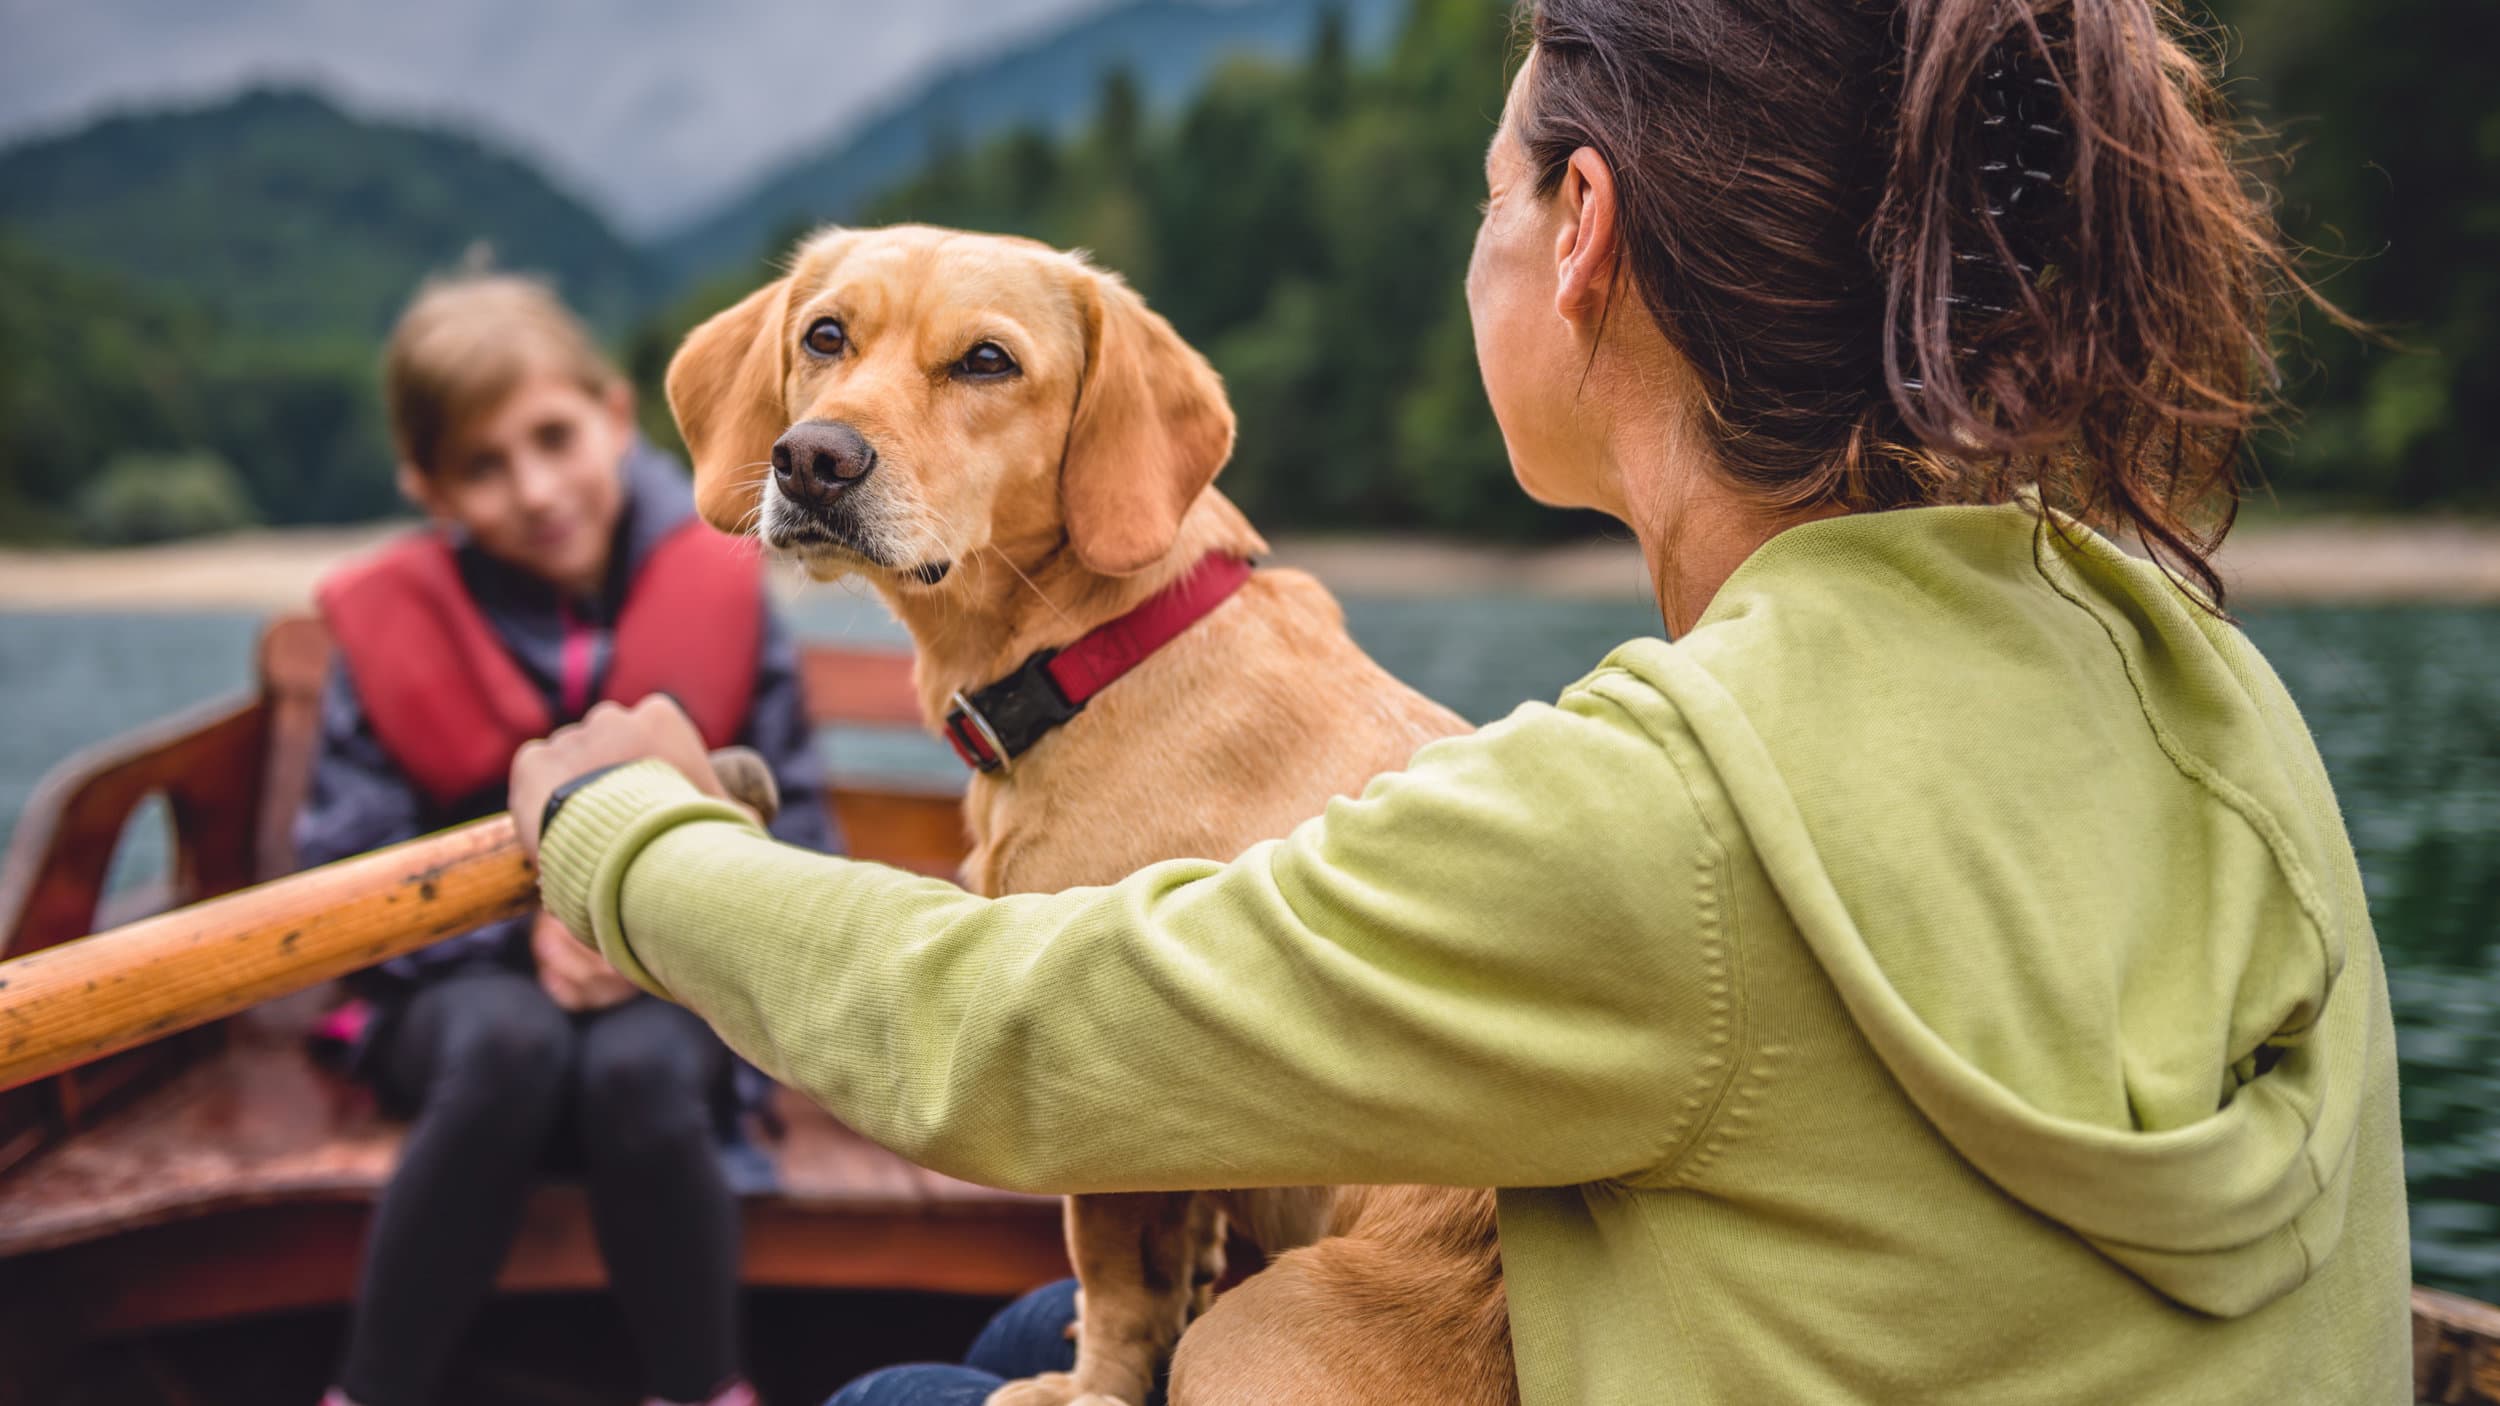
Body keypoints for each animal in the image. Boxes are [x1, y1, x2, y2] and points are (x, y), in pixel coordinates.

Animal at [665, 223, 1510, 1390]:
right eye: (825, 336)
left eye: (986, 361)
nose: (812, 458)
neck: (1097, 649)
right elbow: (1175, 1256)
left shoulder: (1103, 1098)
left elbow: (1114, 1274)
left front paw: (1087, 1389)